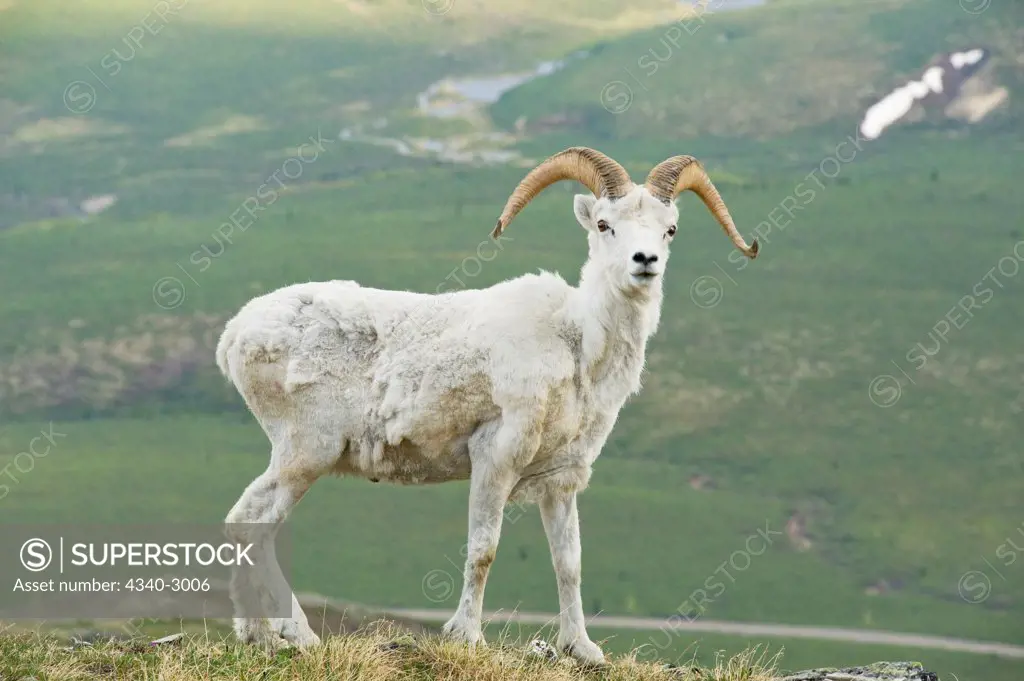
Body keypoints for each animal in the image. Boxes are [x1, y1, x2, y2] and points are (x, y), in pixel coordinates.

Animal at [218, 146, 761, 659]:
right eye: (606, 224)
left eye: (669, 230)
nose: (644, 261)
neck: (577, 345)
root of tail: (235, 334)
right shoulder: (495, 460)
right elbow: (484, 550)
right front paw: (468, 637)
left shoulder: (560, 481)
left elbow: (569, 562)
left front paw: (583, 649)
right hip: (306, 453)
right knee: (253, 525)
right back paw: (297, 636)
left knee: (246, 524)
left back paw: (258, 636)